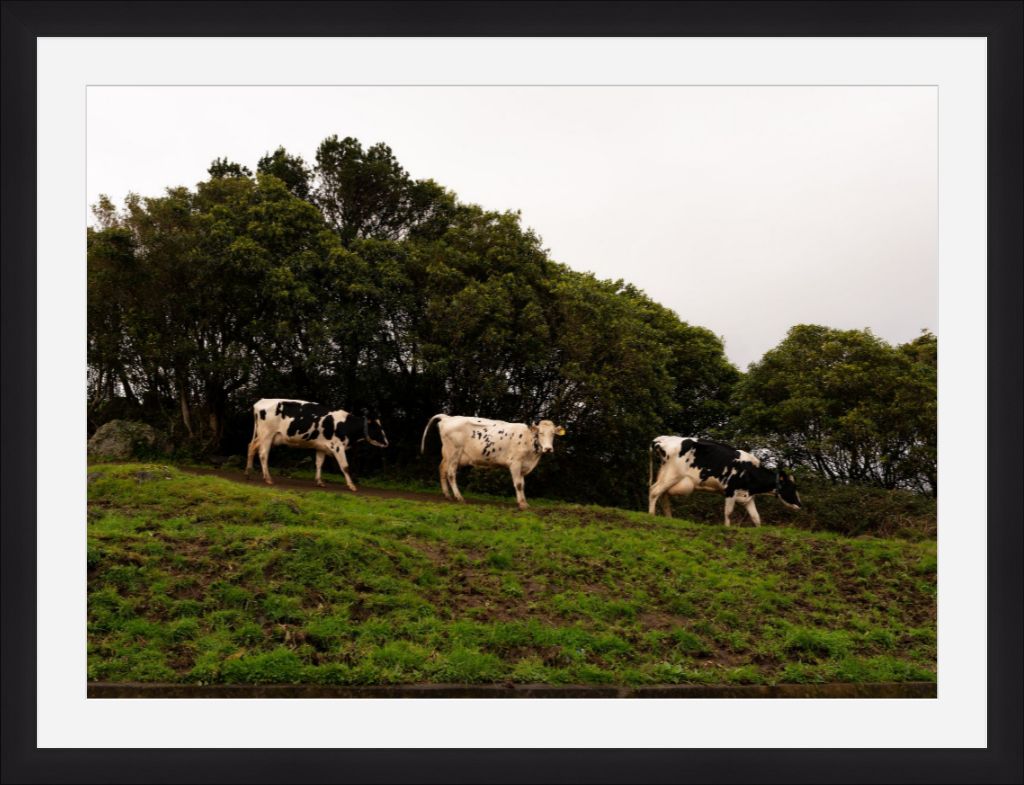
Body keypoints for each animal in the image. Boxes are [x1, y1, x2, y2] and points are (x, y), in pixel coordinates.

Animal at [243, 399, 387, 491]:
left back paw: (248, 473)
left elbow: (319, 464)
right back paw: (267, 478)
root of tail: (260, 402)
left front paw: (319, 481)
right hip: (267, 435)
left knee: (251, 447)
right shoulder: (338, 447)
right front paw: (351, 486)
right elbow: (345, 467)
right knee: (263, 454)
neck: (346, 424)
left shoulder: (321, 447)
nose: (387, 443)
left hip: (261, 436)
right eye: (377, 428)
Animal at [417, 413, 569, 511]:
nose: (548, 448)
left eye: (553, 434)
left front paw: (523, 502)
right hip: (454, 453)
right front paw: (522, 505)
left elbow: (522, 484)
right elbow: (519, 485)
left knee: (442, 469)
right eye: (540, 433)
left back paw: (447, 495)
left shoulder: (523, 466)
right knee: (450, 473)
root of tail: (448, 417)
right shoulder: (515, 463)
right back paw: (459, 497)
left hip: (448, 454)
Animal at [647, 435, 798, 528]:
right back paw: (651, 515)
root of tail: (662, 439)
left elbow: (756, 517)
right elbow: (728, 512)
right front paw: (727, 527)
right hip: (673, 474)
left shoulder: (747, 496)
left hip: (666, 474)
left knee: (663, 494)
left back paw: (669, 518)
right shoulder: (730, 490)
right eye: (792, 489)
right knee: (654, 491)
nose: (799, 505)